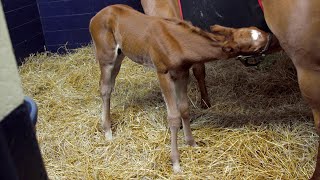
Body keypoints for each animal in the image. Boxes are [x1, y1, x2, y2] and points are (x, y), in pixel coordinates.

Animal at [89, 4, 270, 173]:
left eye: (255, 29)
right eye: (254, 46)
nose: (269, 35)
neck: (179, 42)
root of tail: (95, 17)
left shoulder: (182, 73)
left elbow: (184, 109)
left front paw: (191, 143)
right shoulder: (163, 74)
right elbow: (174, 117)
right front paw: (176, 163)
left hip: (120, 55)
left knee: (109, 86)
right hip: (107, 57)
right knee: (104, 88)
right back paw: (108, 132)